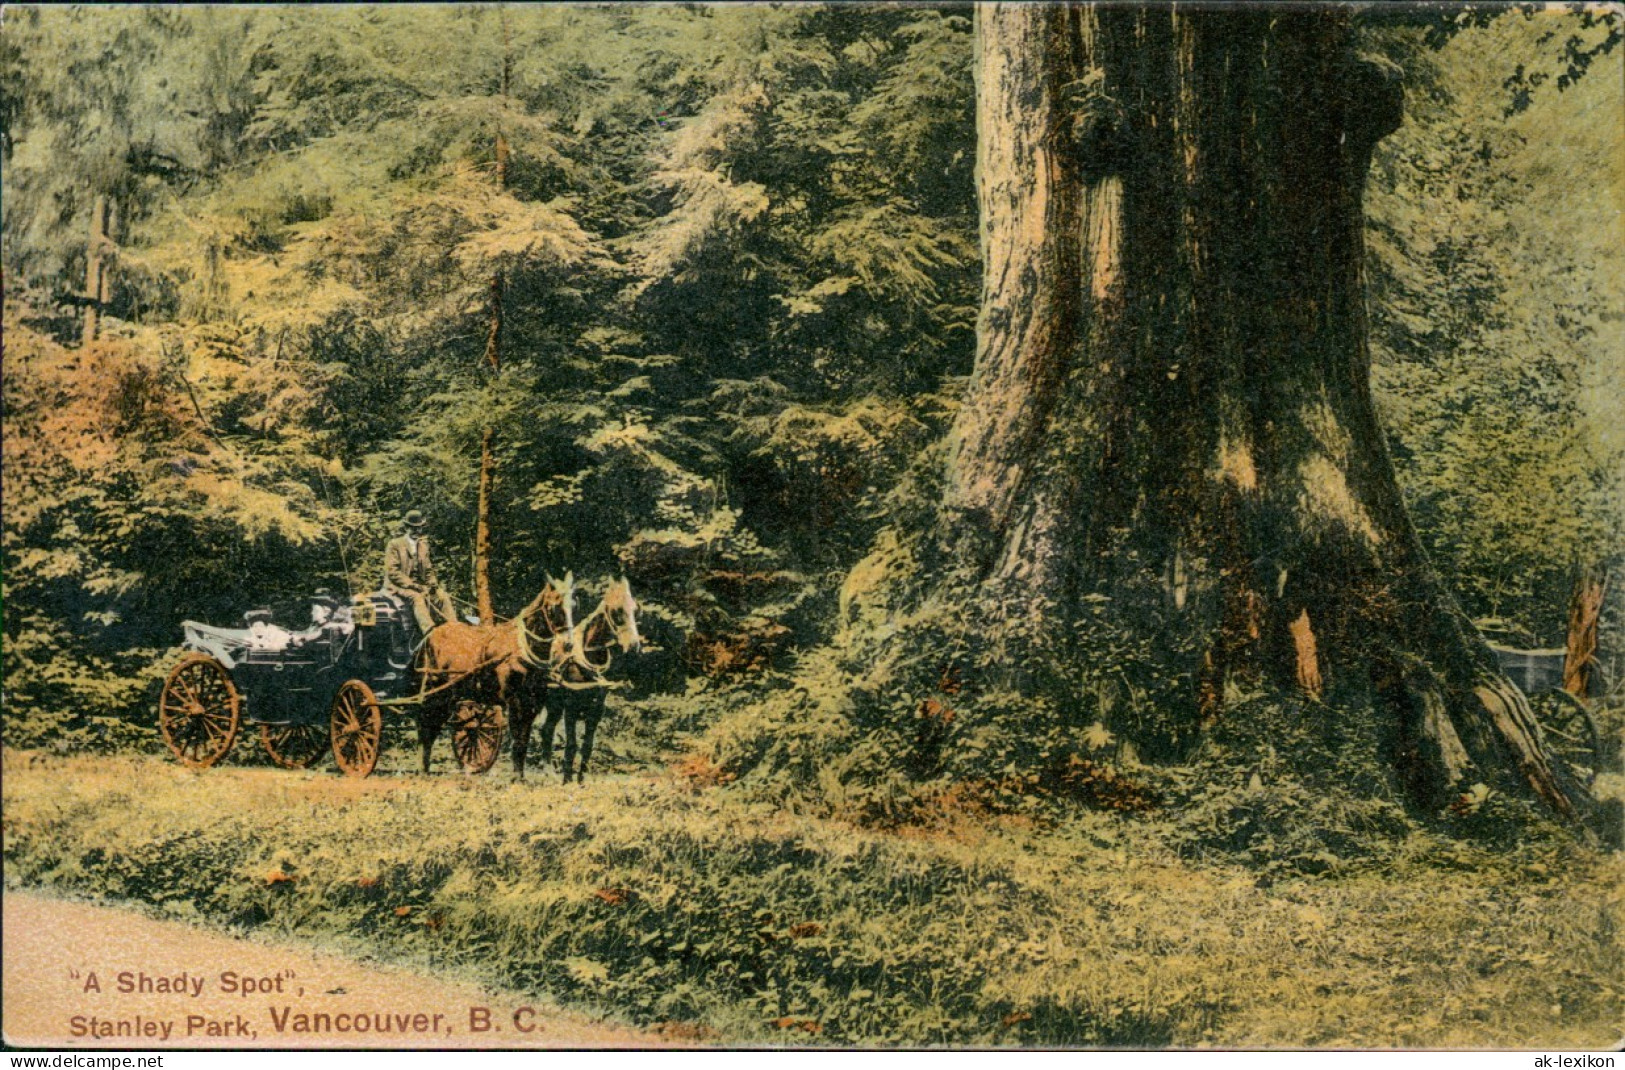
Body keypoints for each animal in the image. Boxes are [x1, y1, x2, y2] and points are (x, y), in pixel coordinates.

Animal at [412, 575, 572, 774]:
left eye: (574, 604)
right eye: (554, 606)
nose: (567, 644)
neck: (521, 649)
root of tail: (429, 636)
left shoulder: (533, 701)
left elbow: (525, 739)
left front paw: (520, 775)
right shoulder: (516, 701)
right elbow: (518, 740)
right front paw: (517, 776)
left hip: (448, 696)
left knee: (435, 728)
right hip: (433, 693)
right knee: (425, 727)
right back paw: (422, 769)